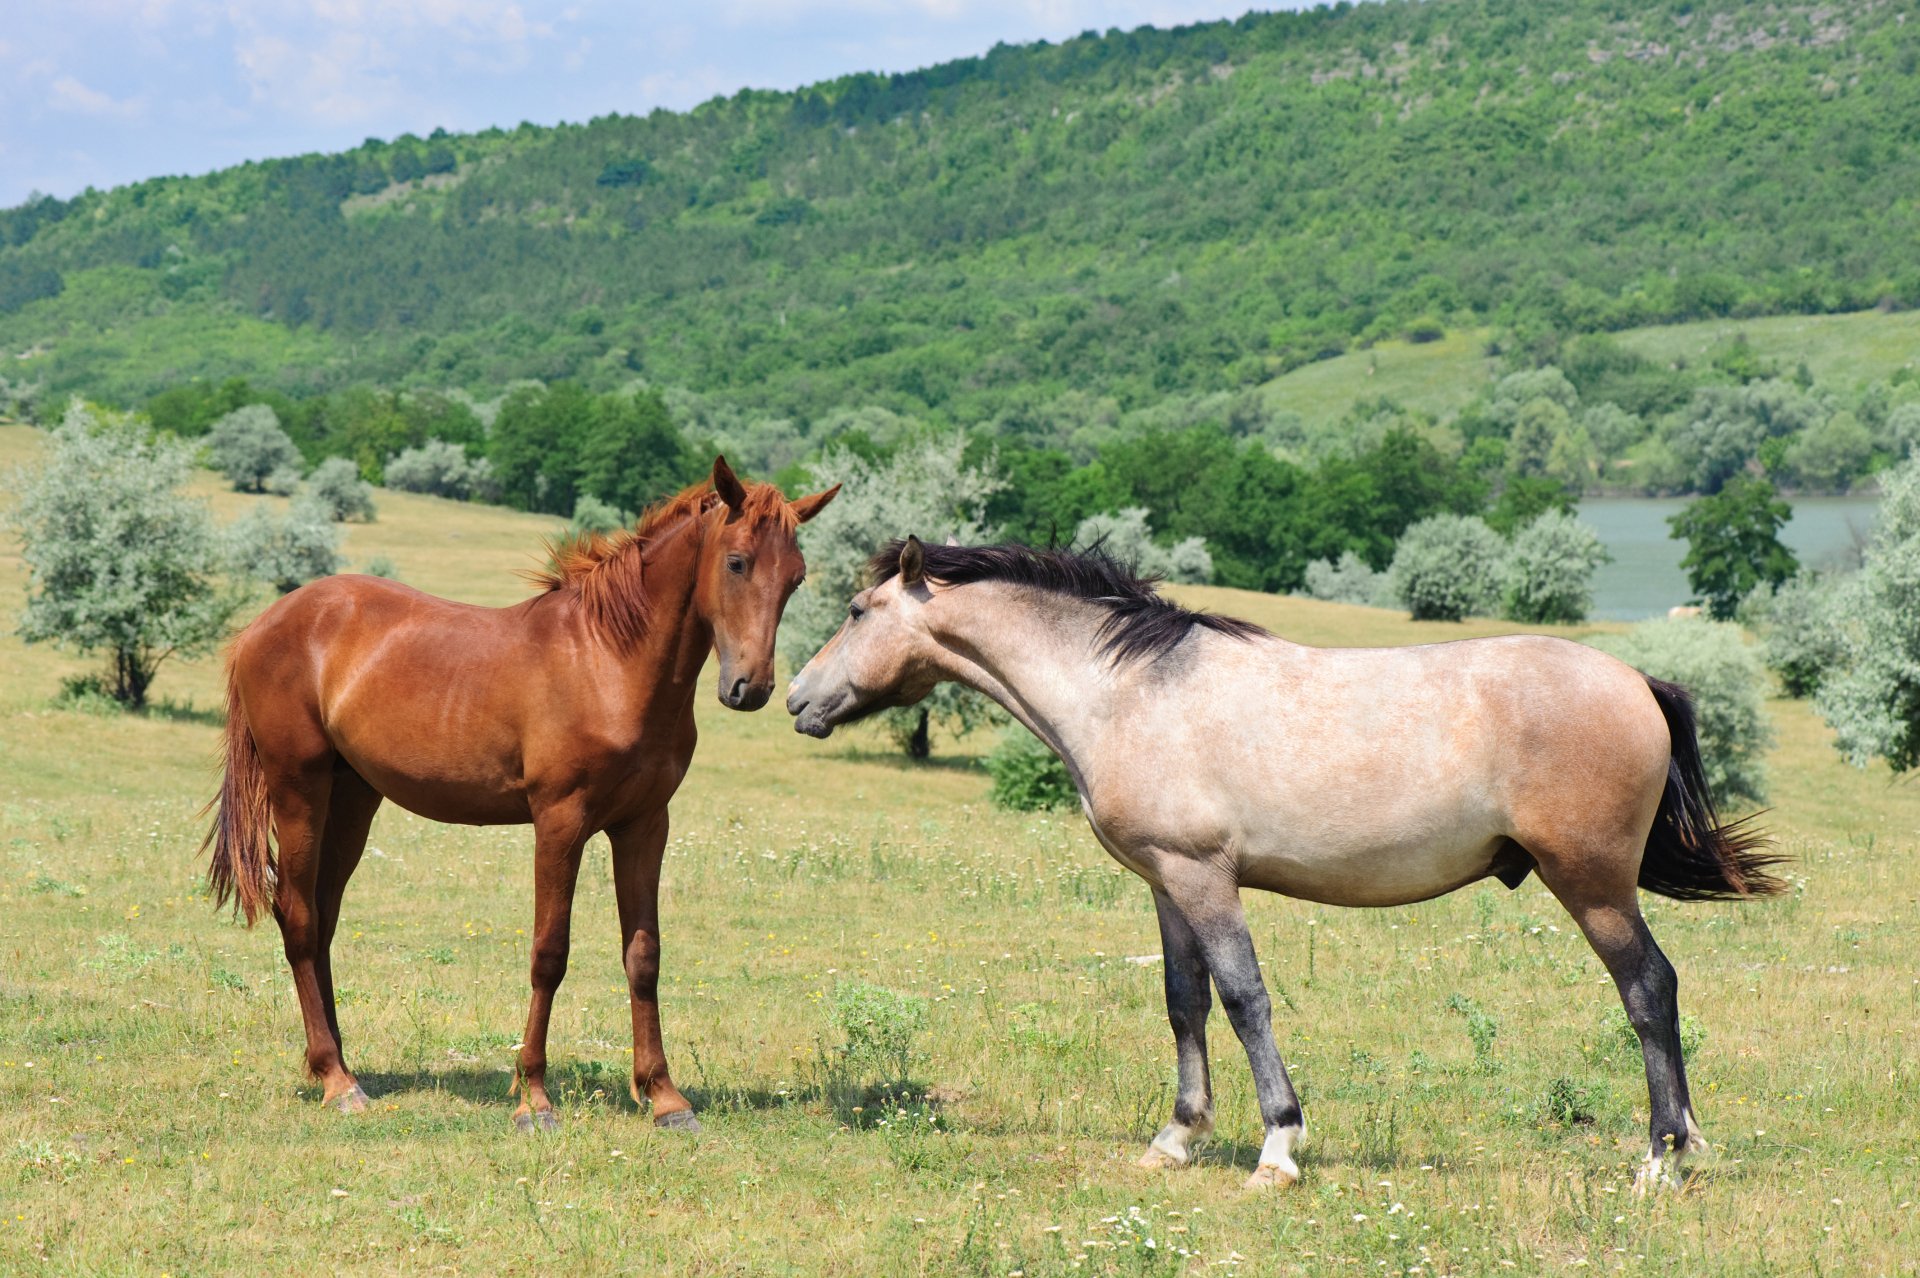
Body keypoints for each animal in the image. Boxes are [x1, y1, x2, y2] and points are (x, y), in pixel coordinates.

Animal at [201, 457, 837, 1132]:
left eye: (796, 578)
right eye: (737, 562)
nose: (752, 688)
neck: (608, 661)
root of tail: (264, 625)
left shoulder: (645, 825)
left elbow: (644, 956)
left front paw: (665, 1097)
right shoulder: (560, 822)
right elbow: (549, 953)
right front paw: (533, 1096)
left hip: (353, 801)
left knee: (322, 919)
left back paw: (337, 1064)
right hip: (299, 790)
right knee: (297, 915)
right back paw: (336, 1080)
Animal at [786, 537, 1783, 1191]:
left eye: (856, 612)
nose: (795, 697)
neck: (1131, 691)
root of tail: (1638, 681)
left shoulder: (1204, 877)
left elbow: (1243, 999)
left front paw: (1278, 1148)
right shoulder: (1168, 883)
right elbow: (1183, 1001)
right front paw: (1177, 1137)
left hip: (1592, 885)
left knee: (1649, 990)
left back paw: (1660, 1158)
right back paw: (1688, 1143)